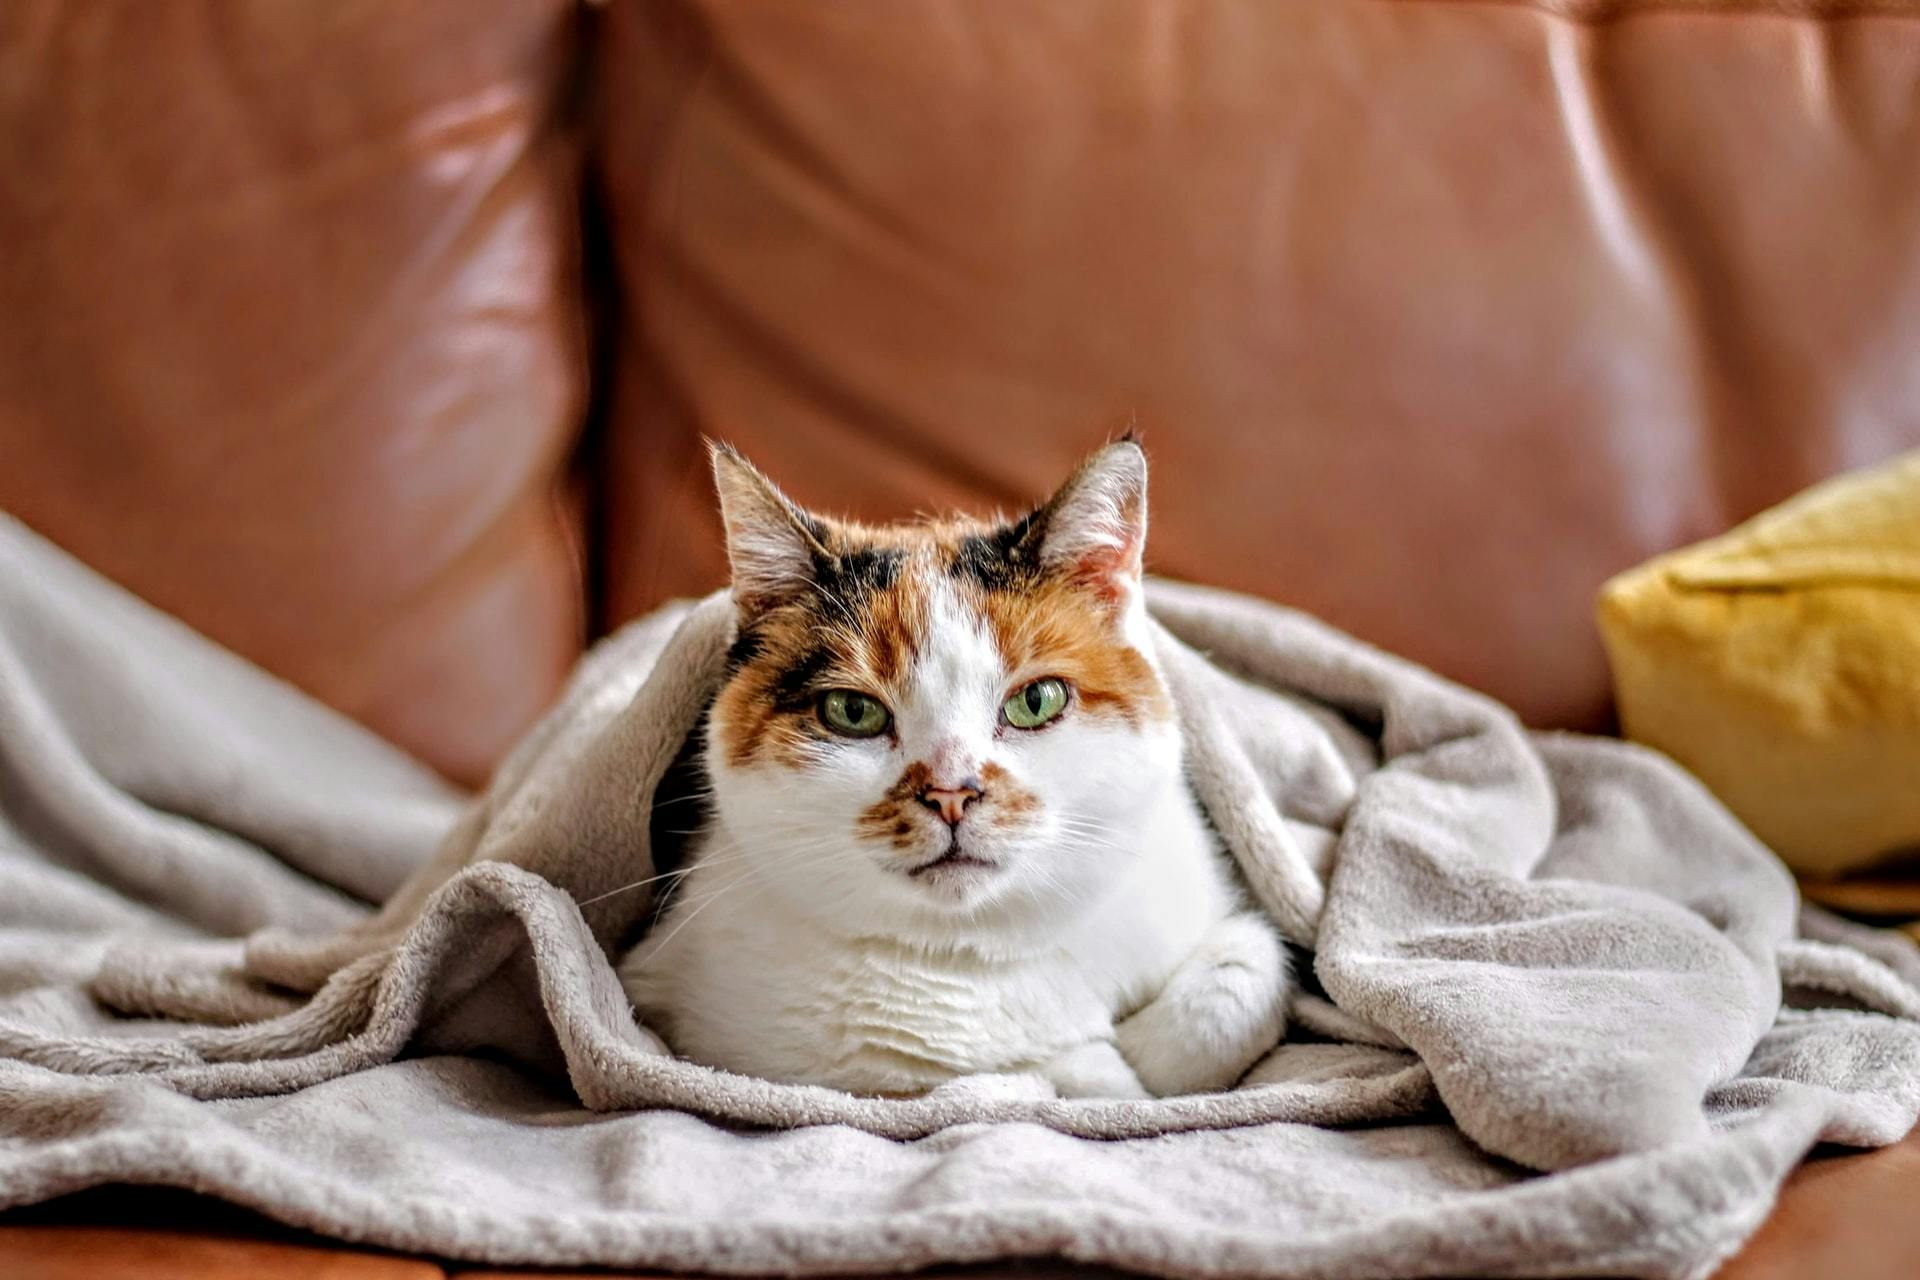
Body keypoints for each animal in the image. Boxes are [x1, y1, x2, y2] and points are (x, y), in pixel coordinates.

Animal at [622, 441, 1290, 1105]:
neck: (979, 950)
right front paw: (1090, 1064)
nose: (951, 793)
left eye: (1036, 700)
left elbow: (1248, 974)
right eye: (852, 711)